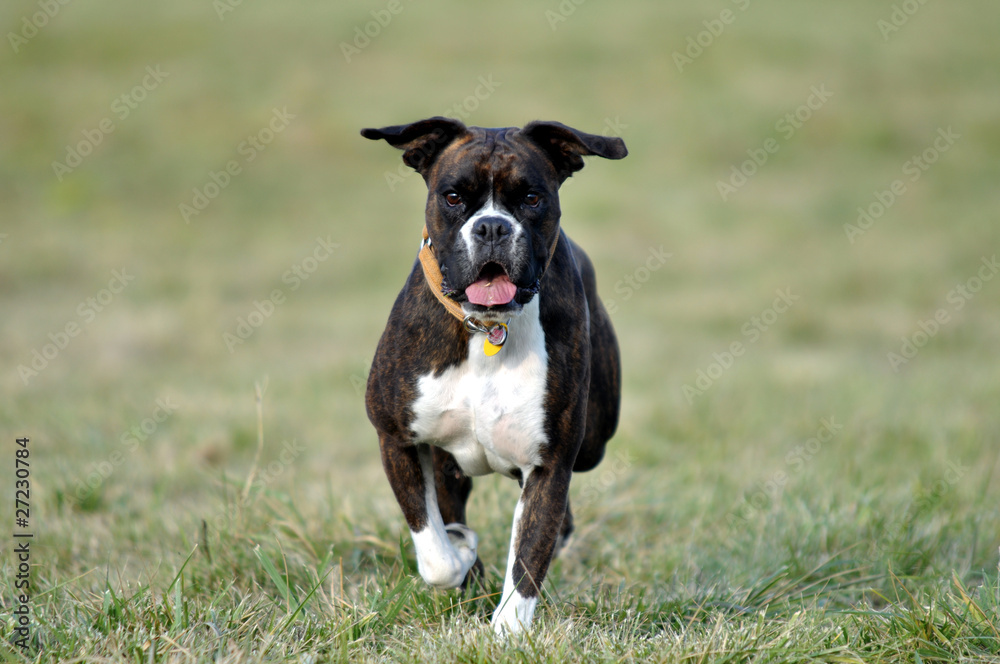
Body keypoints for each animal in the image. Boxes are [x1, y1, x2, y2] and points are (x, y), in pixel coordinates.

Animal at [360, 116, 624, 636]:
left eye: (532, 198)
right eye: (453, 197)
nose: (492, 226)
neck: (488, 327)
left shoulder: (548, 463)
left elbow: (529, 555)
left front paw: (508, 632)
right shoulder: (396, 438)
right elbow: (435, 551)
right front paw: (461, 553)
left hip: (592, 443)